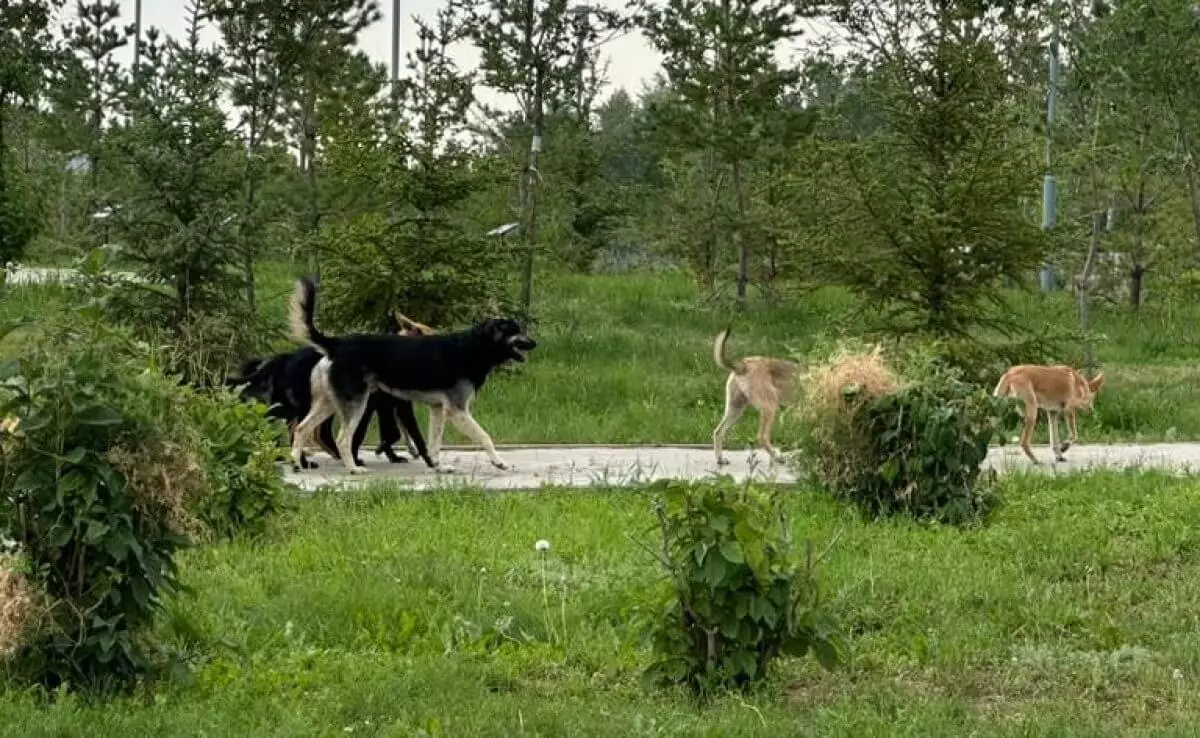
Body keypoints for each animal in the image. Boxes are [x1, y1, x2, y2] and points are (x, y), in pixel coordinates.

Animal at [285, 276, 535, 472]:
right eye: (516, 331)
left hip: (326, 404)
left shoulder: (438, 410)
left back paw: (297, 463)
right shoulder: (458, 411)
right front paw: (499, 462)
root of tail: (336, 345)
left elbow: (434, 443)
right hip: (356, 405)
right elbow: (485, 436)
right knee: (342, 439)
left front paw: (438, 467)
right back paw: (353, 469)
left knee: (301, 429)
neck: (474, 348)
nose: (536, 343)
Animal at [705, 331, 801, 465]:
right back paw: (777, 457)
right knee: (762, 437)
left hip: (736, 409)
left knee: (718, 431)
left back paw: (720, 458)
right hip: (769, 408)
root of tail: (743, 365)